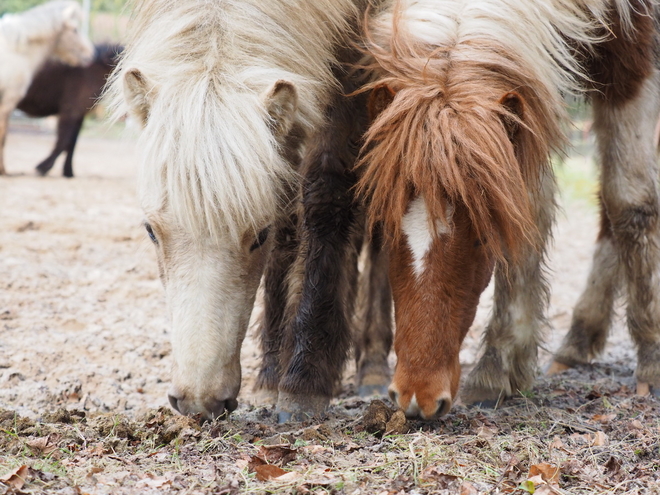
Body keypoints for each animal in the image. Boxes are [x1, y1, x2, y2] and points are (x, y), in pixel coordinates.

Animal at [0, 0, 94, 175]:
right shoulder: (9, 99)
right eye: (75, 29)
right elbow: (3, 134)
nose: (91, 54)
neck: (16, 52)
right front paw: (3, 169)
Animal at [16, 43, 122, 178]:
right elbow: (64, 140)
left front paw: (68, 171)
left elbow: (72, 142)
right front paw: (43, 167)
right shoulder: (70, 111)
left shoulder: (78, 114)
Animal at [108, 0, 366, 422]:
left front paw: (305, 381)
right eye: (150, 230)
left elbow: (326, 197)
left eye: (259, 234)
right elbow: (289, 221)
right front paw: (273, 375)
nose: (199, 401)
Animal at [358, 0, 660, 418]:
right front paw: (501, 366)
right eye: (386, 229)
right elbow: (530, 209)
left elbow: (629, 200)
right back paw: (578, 340)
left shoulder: (632, 53)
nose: (417, 397)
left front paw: (652, 357)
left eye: (482, 239)